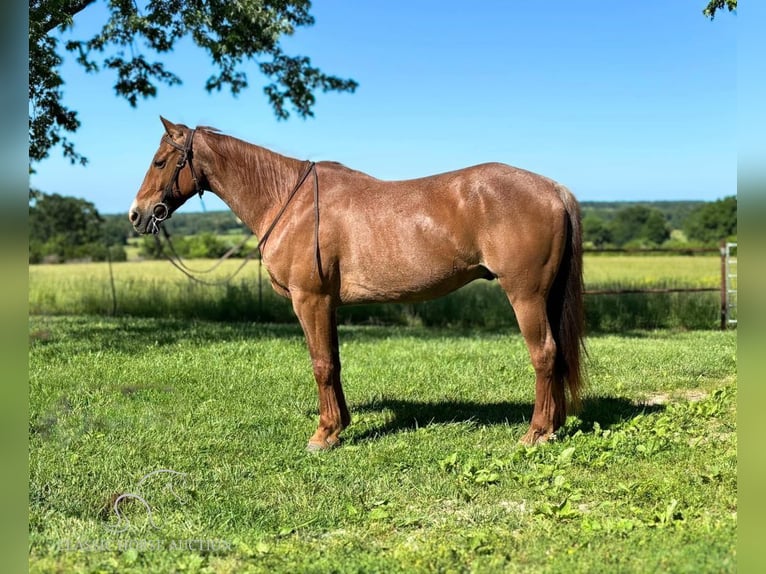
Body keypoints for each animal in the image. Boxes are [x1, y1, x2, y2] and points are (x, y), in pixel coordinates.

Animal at [130, 116, 588, 450]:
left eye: (159, 162)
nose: (137, 214)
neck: (287, 200)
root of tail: (553, 189)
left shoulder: (310, 300)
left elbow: (321, 364)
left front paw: (323, 434)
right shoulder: (326, 304)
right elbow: (333, 362)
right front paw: (339, 426)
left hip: (525, 295)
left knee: (544, 354)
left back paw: (536, 433)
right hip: (544, 296)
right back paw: (554, 425)